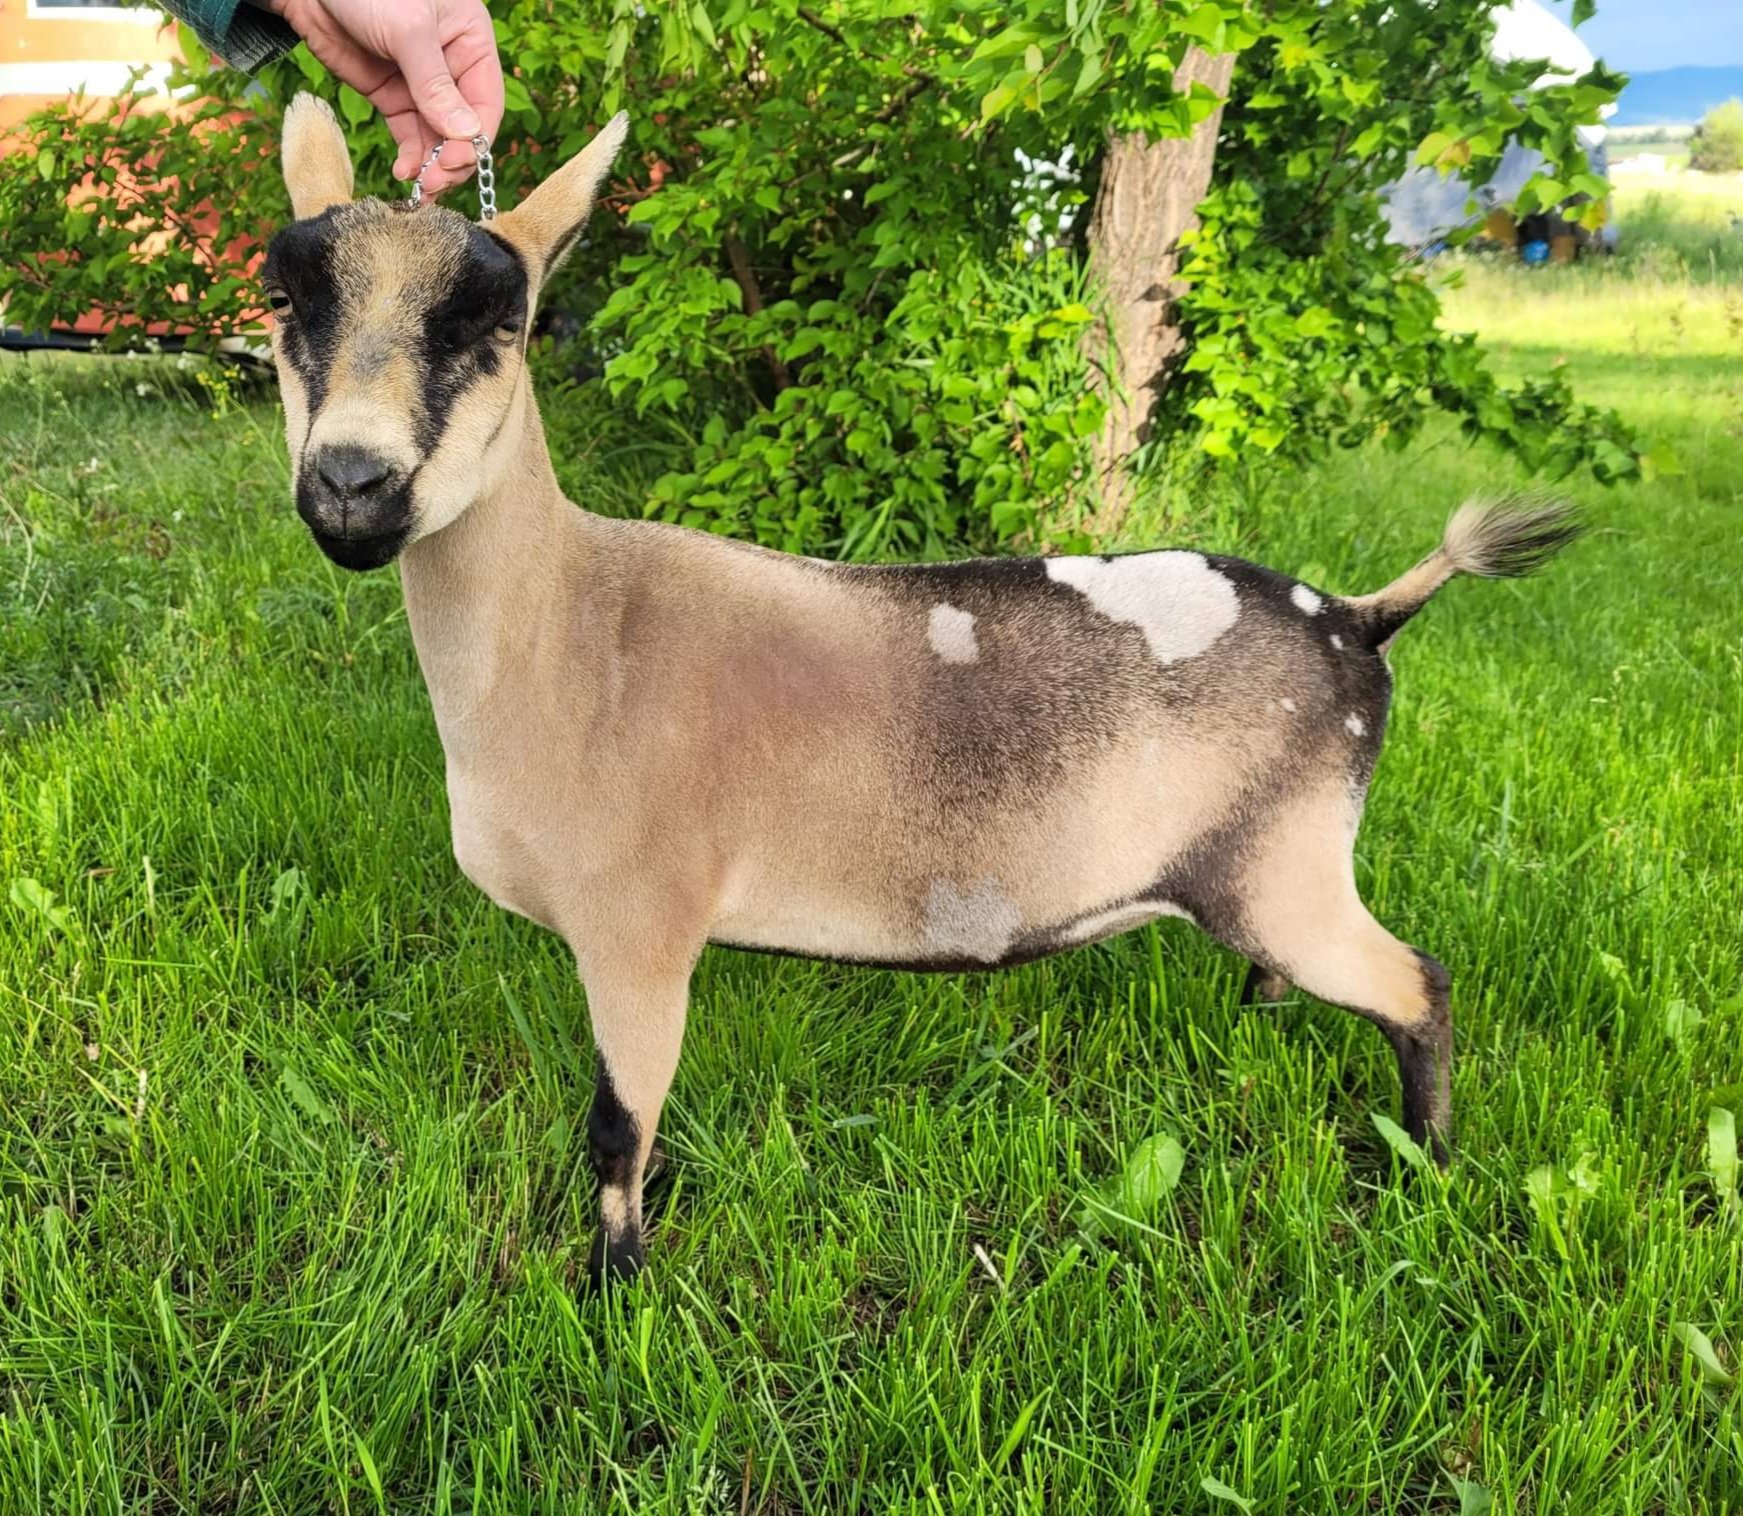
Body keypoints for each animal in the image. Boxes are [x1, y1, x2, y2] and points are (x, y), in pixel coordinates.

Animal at [264, 94, 1581, 1283]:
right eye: (287, 302)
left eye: (499, 321)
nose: (351, 485)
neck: (579, 633)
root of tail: (1360, 621)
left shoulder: (639, 926)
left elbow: (617, 1129)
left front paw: (616, 1284)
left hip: (1286, 869)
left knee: (1418, 983)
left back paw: (1424, 1161)